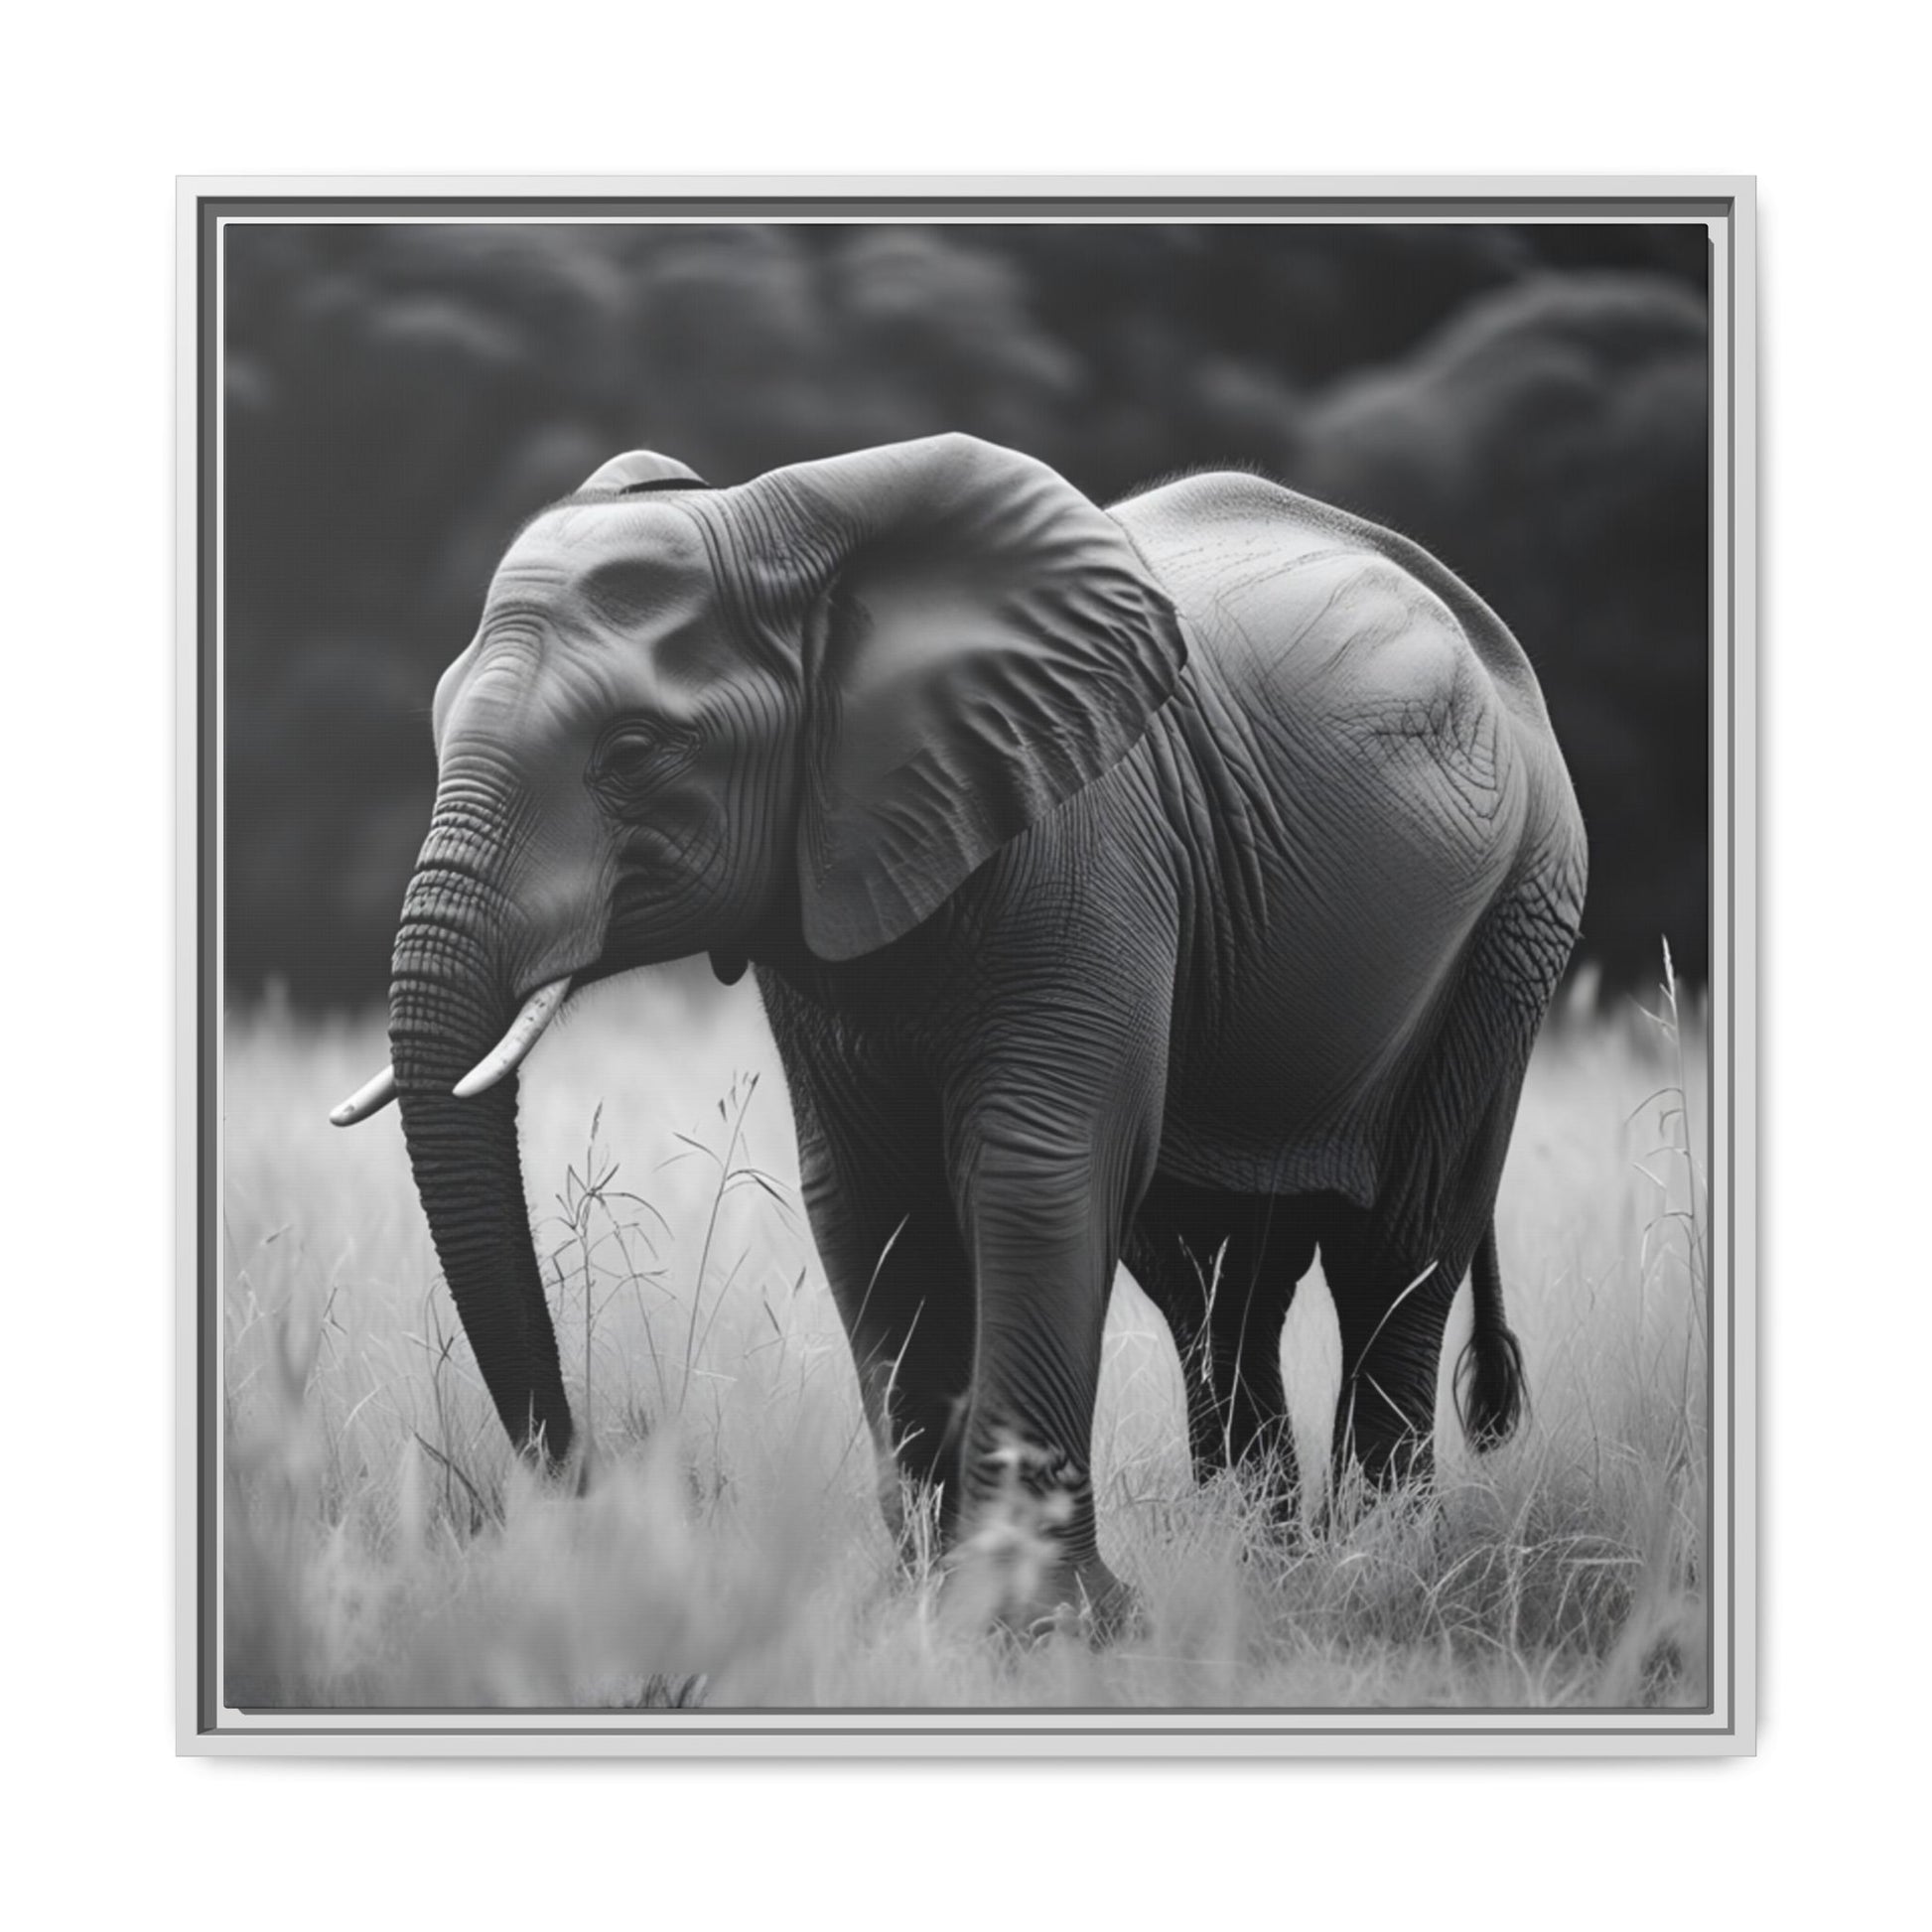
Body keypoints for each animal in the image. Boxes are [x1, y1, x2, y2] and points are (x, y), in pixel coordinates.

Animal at [333, 433, 1587, 1634]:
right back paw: (1259, 1564)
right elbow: (865, 1198)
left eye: (634, 750)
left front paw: (1038, 1627)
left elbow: (1034, 1172)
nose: (598, 1500)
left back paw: (1375, 1567)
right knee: (1212, 1277)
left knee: (1398, 1245)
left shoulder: (1086, 846)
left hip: (1516, 918)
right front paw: (921, 1607)